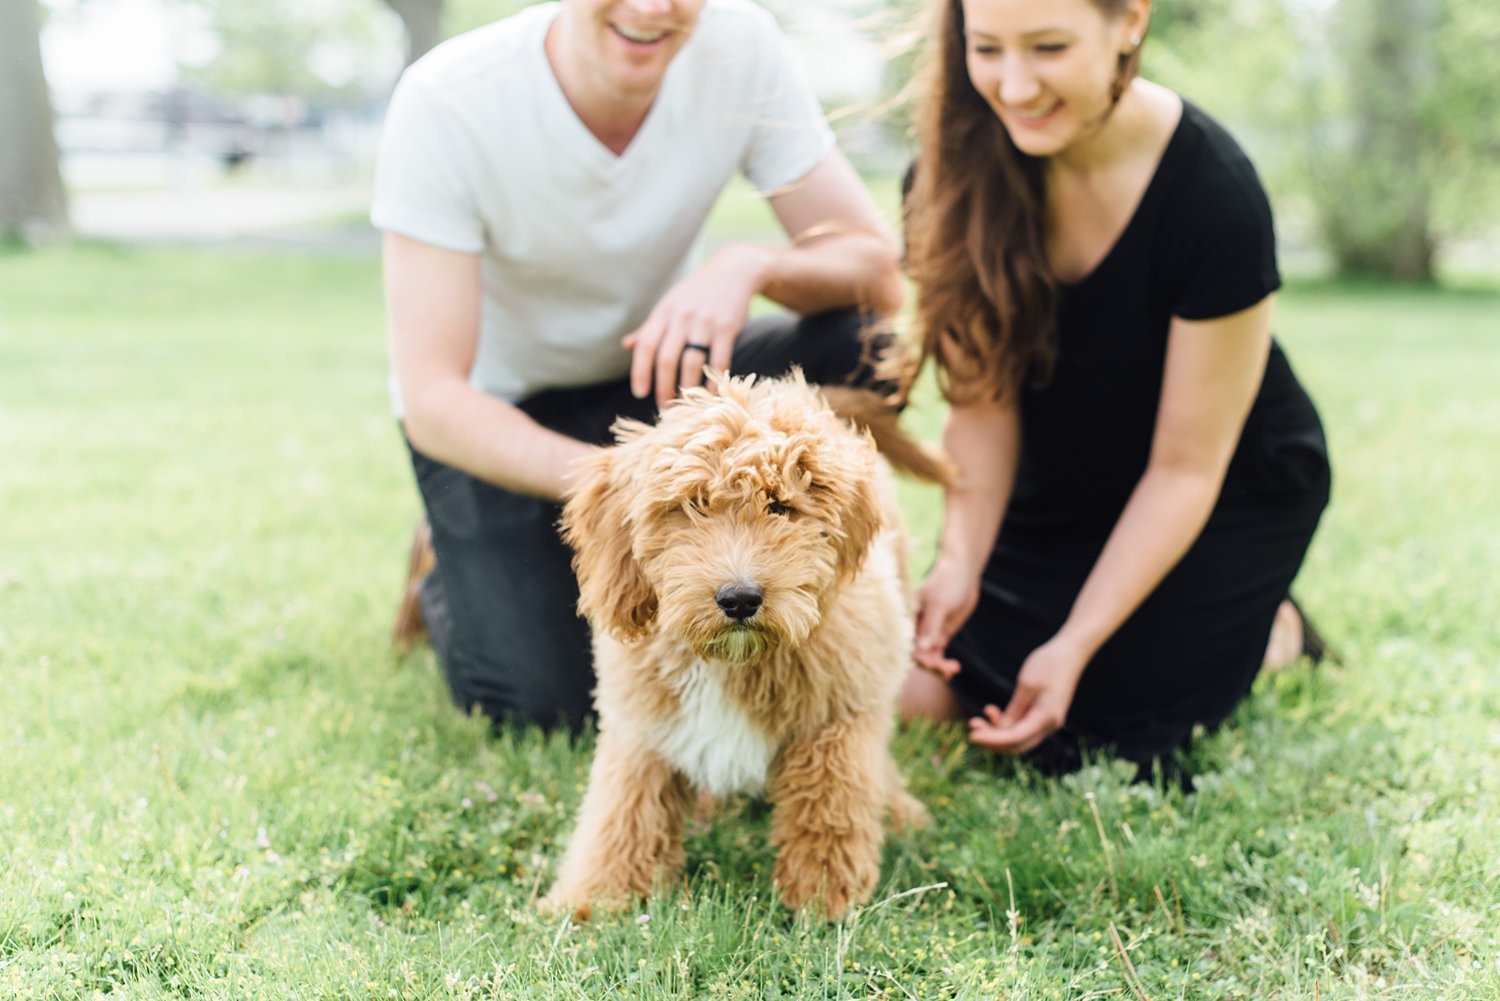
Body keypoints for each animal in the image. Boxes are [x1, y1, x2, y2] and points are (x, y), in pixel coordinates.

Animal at [546, 372, 936, 918]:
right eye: (692, 506)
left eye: (780, 506)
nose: (739, 598)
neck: (732, 660)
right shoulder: (644, 728)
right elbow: (623, 814)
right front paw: (594, 899)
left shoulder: (837, 714)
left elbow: (830, 808)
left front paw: (824, 899)